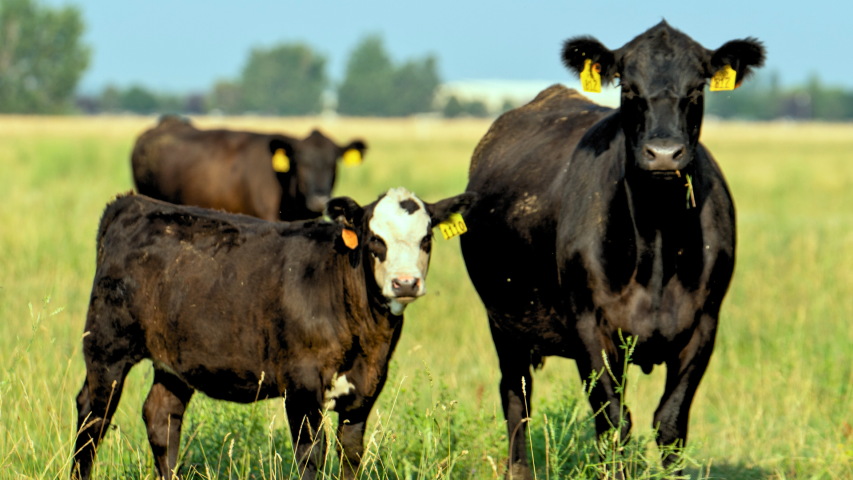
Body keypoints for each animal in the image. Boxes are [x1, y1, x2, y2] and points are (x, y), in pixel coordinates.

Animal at [71, 188, 472, 480]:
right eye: (375, 239)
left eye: (426, 239)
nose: (405, 283)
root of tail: (132, 203)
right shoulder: (302, 388)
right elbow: (311, 456)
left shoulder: (365, 390)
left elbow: (351, 454)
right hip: (106, 348)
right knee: (93, 415)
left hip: (175, 360)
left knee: (161, 416)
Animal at [460, 19, 764, 476]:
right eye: (628, 88)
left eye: (697, 88)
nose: (663, 154)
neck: (657, 240)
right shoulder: (590, 326)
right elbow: (613, 423)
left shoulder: (704, 324)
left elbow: (671, 423)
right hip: (503, 321)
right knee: (517, 398)